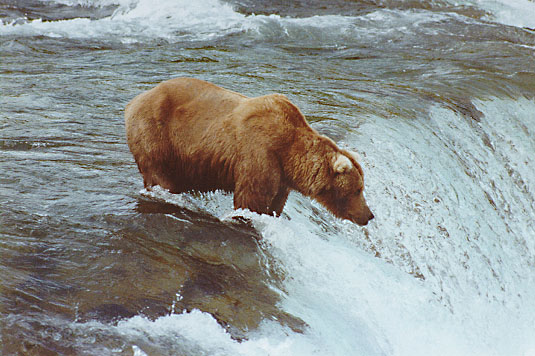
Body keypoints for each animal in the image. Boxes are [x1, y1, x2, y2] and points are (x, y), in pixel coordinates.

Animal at [126, 78, 376, 225]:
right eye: (357, 190)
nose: (369, 215)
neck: (289, 154)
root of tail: (134, 100)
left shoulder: (281, 175)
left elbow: (276, 202)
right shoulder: (259, 153)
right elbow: (251, 198)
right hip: (158, 135)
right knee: (159, 173)